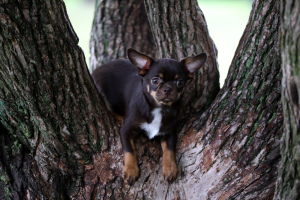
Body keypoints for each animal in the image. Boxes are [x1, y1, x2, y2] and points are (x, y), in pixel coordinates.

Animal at [92, 48, 207, 184]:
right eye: (155, 81)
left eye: (180, 82)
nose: (168, 88)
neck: (159, 108)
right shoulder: (126, 130)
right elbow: (129, 150)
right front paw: (131, 170)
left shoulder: (169, 133)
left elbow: (169, 150)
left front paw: (170, 168)